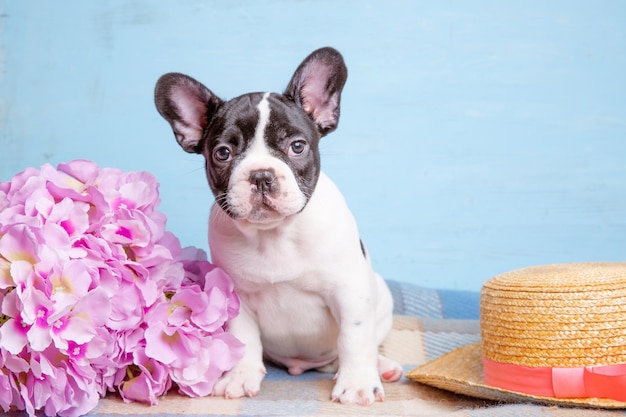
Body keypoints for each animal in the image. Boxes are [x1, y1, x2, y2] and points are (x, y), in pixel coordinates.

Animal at [154, 47, 402, 404]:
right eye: (222, 153)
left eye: (297, 146)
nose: (261, 175)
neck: (274, 235)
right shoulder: (238, 299)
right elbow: (244, 339)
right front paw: (240, 376)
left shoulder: (349, 293)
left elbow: (353, 338)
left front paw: (356, 383)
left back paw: (382, 367)